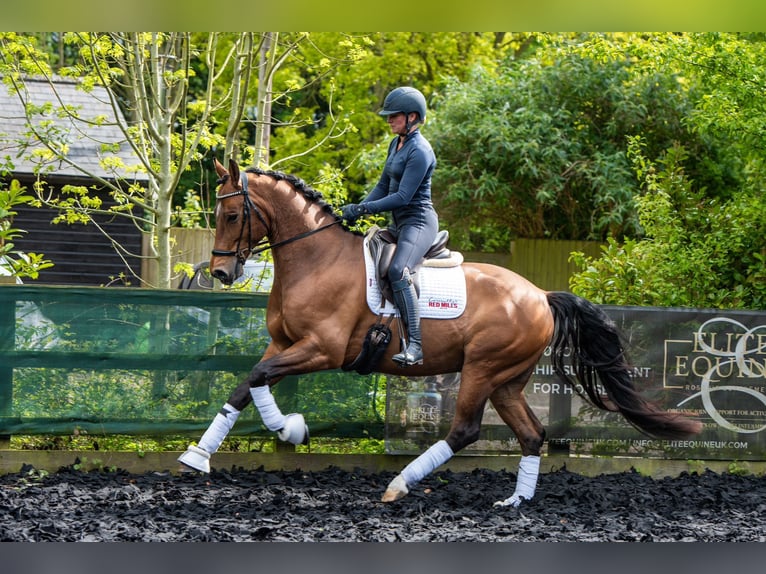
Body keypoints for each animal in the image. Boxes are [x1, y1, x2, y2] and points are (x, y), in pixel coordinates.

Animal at [178, 158, 704, 508]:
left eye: (231, 215)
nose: (221, 273)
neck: (314, 259)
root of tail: (539, 295)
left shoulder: (321, 350)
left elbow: (258, 377)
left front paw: (289, 428)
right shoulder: (285, 344)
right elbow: (249, 384)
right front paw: (201, 455)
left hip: (482, 369)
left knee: (466, 430)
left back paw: (400, 485)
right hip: (507, 380)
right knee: (531, 434)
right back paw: (516, 502)